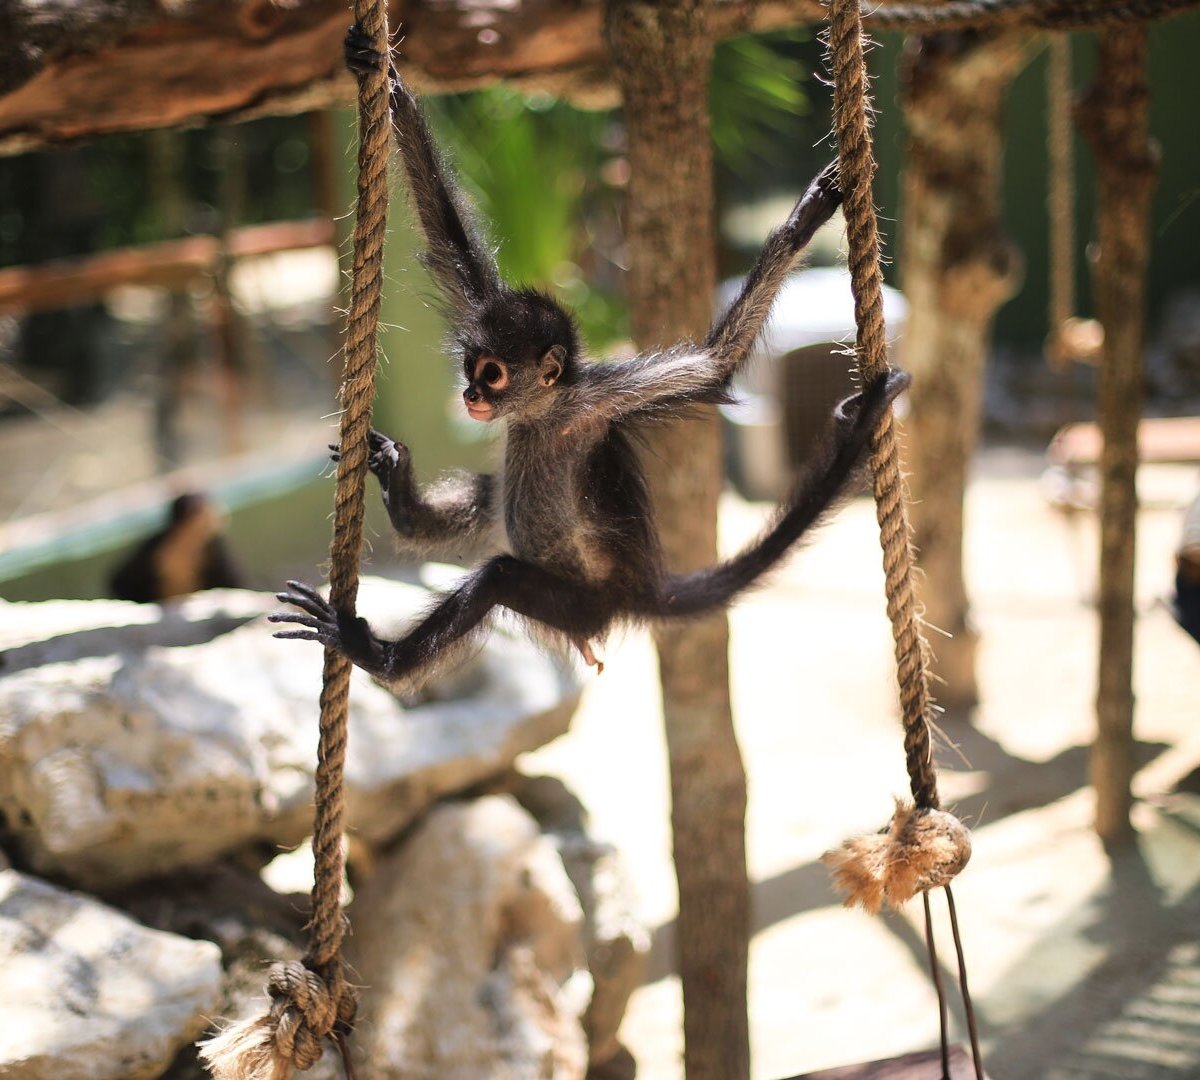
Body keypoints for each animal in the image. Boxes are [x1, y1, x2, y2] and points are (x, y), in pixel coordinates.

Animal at [270, 27, 907, 691]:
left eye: (493, 374)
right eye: (472, 367)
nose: (471, 395)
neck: (544, 415)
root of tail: (634, 594)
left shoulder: (597, 400)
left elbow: (715, 364)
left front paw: (800, 225)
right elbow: (445, 238)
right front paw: (383, 75)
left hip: (581, 605)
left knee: (498, 576)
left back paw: (378, 655)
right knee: (487, 493)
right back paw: (400, 500)